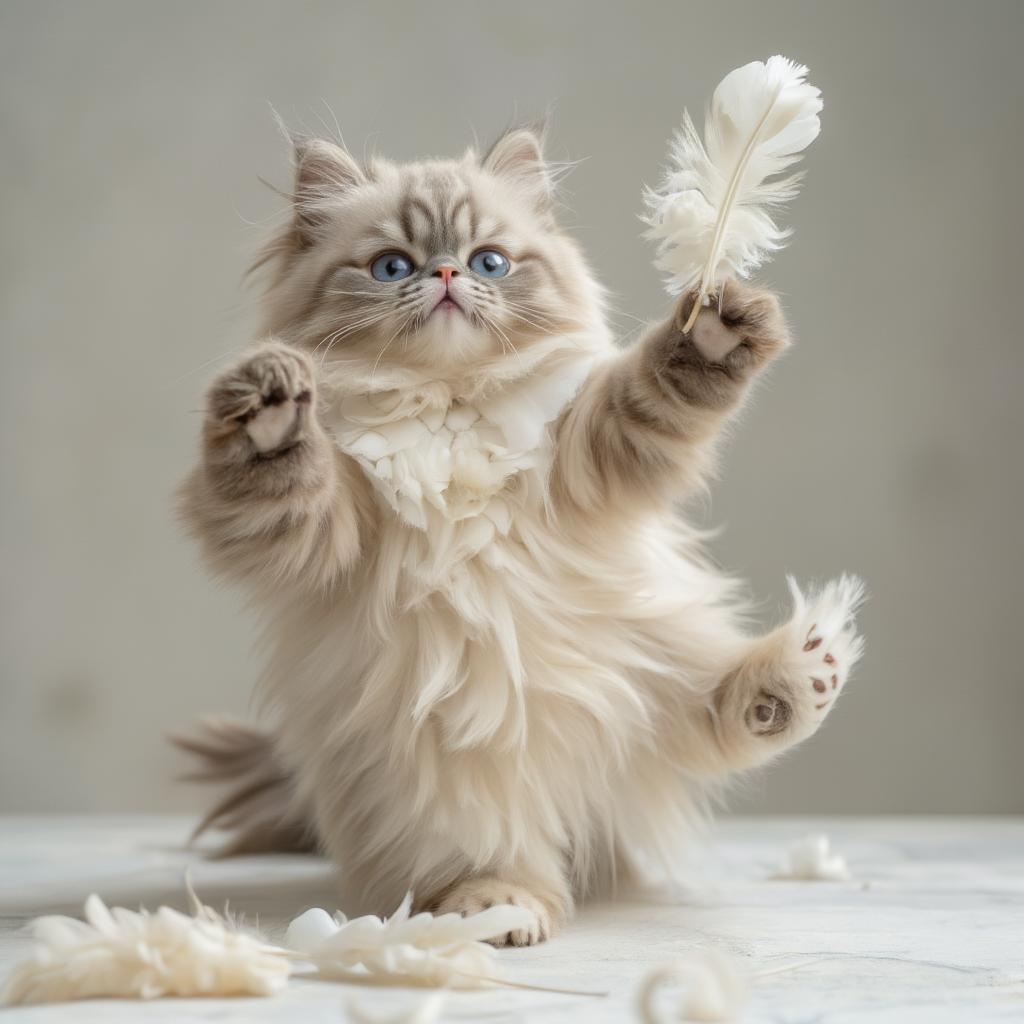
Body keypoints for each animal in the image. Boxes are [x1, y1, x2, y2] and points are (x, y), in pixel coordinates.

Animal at [178, 125, 864, 942]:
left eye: (489, 263)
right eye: (391, 267)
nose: (445, 273)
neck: (445, 403)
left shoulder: (594, 455)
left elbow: (656, 389)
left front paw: (711, 328)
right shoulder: (323, 529)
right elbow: (278, 469)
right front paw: (271, 406)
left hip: (656, 658)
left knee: (721, 718)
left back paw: (798, 681)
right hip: (444, 786)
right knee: (498, 858)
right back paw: (500, 909)